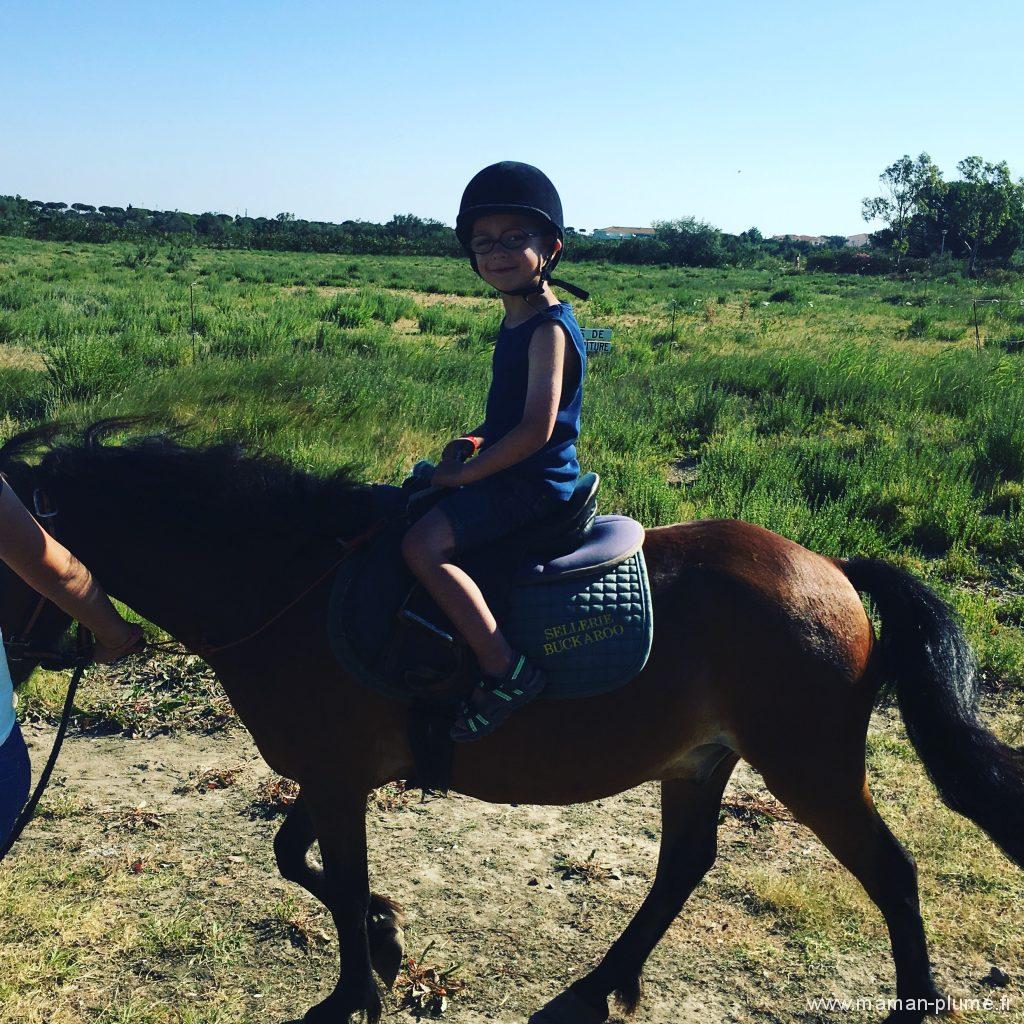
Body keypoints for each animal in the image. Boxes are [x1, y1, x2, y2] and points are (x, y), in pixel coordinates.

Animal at [0, 419, 1019, 1019]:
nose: (15, 659)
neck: (286, 583)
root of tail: (835, 570)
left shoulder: (336, 778)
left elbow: (330, 876)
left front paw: (355, 989)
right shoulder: (335, 775)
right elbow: (299, 861)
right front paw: (387, 938)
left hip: (810, 768)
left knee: (892, 876)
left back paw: (915, 998)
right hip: (700, 760)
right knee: (684, 869)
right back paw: (603, 984)